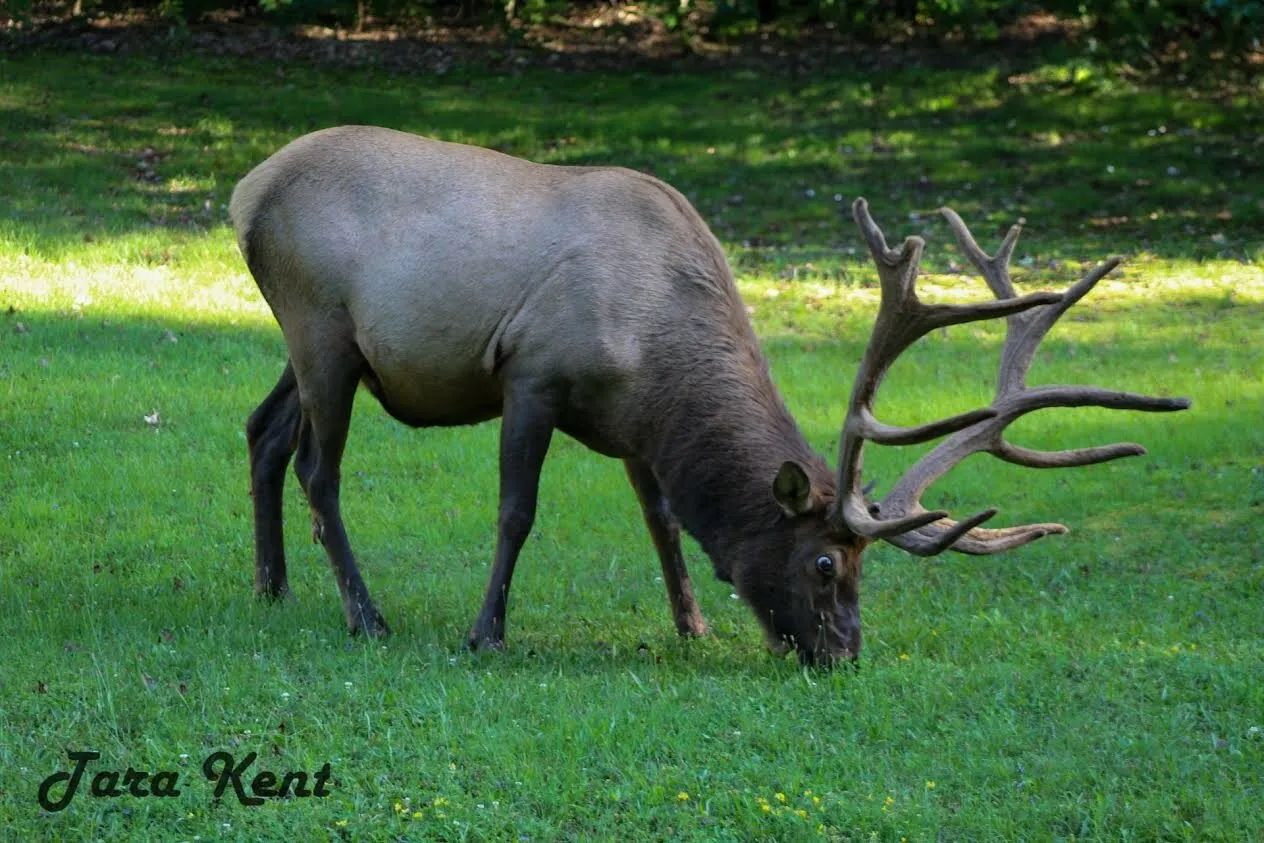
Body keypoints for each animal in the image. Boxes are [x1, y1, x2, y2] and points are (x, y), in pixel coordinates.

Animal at [231, 125, 1189, 667]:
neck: (655, 358)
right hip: (321, 325)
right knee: (319, 469)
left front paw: (692, 625)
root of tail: (245, 194)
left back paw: (272, 587)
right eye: (825, 563)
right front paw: (486, 632)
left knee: (262, 430)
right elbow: (517, 511)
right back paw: (366, 616)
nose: (845, 654)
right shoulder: (533, 372)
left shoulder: (634, 431)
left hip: (318, 345)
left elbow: (662, 519)